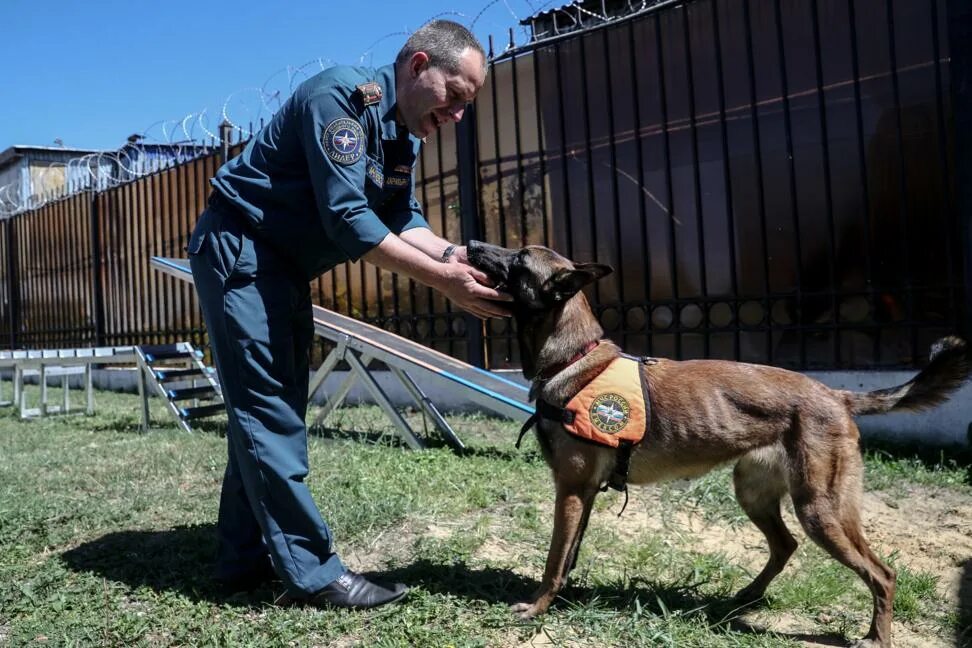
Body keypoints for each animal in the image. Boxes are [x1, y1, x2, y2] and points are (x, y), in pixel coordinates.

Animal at [468, 240, 968, 648]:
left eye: (518, 258)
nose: (470, 243)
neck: (572, 358)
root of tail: (836, 394)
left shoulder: (570, 491)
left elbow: (554, 559)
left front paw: (537, 608)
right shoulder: (584, 494)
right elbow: (569, 555)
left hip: (821, 510)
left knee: (882, 573)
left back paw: (875, 636)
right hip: (755, 493)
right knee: (785, 545)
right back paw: (745, 596)